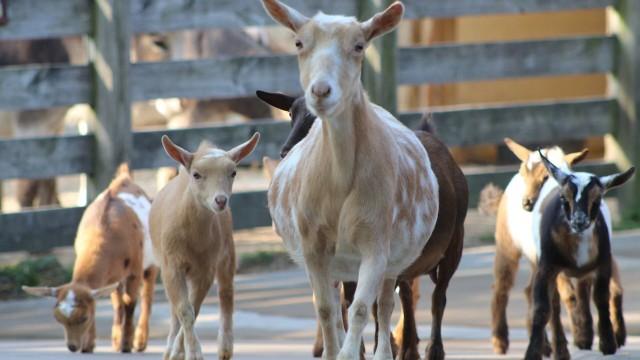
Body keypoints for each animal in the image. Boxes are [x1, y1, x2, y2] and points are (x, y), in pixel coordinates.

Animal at [24, 165, 160, 354]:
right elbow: (106, 301)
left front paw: (126, 345)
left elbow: (130, 303)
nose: (72, 346)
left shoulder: (134, 270)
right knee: (117, 302)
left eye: (83, 318)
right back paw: (116, 340)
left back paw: (140, 342)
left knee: (147, 296)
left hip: (150, 263)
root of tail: (124, 178)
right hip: (115, 276)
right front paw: (89, 345)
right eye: (58, 319)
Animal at [151, 133, 260, 360]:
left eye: (233, 172)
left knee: (226, 293)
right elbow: (184, 310)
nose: (220, 200)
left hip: (227, 251)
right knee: (174, 308)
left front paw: (188, 352)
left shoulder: (205, 269)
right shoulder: (171, 265)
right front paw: (179, 352)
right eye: (196, 175)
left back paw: (225, 348)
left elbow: (194, 308)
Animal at [490, 139, 624, 358]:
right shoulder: (552, 265)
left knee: (529, 290)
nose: (526, 203)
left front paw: (587, 336)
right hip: (506, 243)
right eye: (523, 173)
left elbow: (583, 292)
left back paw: (545, 345)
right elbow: (563, 299)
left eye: (545, 176)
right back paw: (500, 341)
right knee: (502, 285)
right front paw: (573, 341)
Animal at [524, 153, 636, 360]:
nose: (579, 221)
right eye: (563, 197)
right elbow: (543, 308)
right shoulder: (546, 267)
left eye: (598, 199)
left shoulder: (603, 264)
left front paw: (608, 343)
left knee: (588, 293)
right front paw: (532, 353)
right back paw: (562, 349)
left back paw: (591, 336)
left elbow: (601, 298)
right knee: (557, 304)